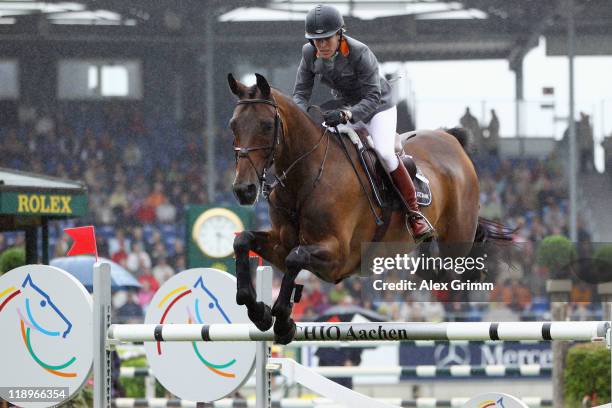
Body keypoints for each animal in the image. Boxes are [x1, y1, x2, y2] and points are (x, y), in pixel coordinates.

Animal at [227, 73, 510, 344]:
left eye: (266, 125)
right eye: (233, 125)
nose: (244, 190)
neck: (307, 177)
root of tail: (450, 138)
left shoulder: (337, 256)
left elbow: (295, 258)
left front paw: (283, 321)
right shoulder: (282, 244)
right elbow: (244, 241)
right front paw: (259, 312)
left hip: (458, 239)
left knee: (463, 263)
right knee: (433, 269)